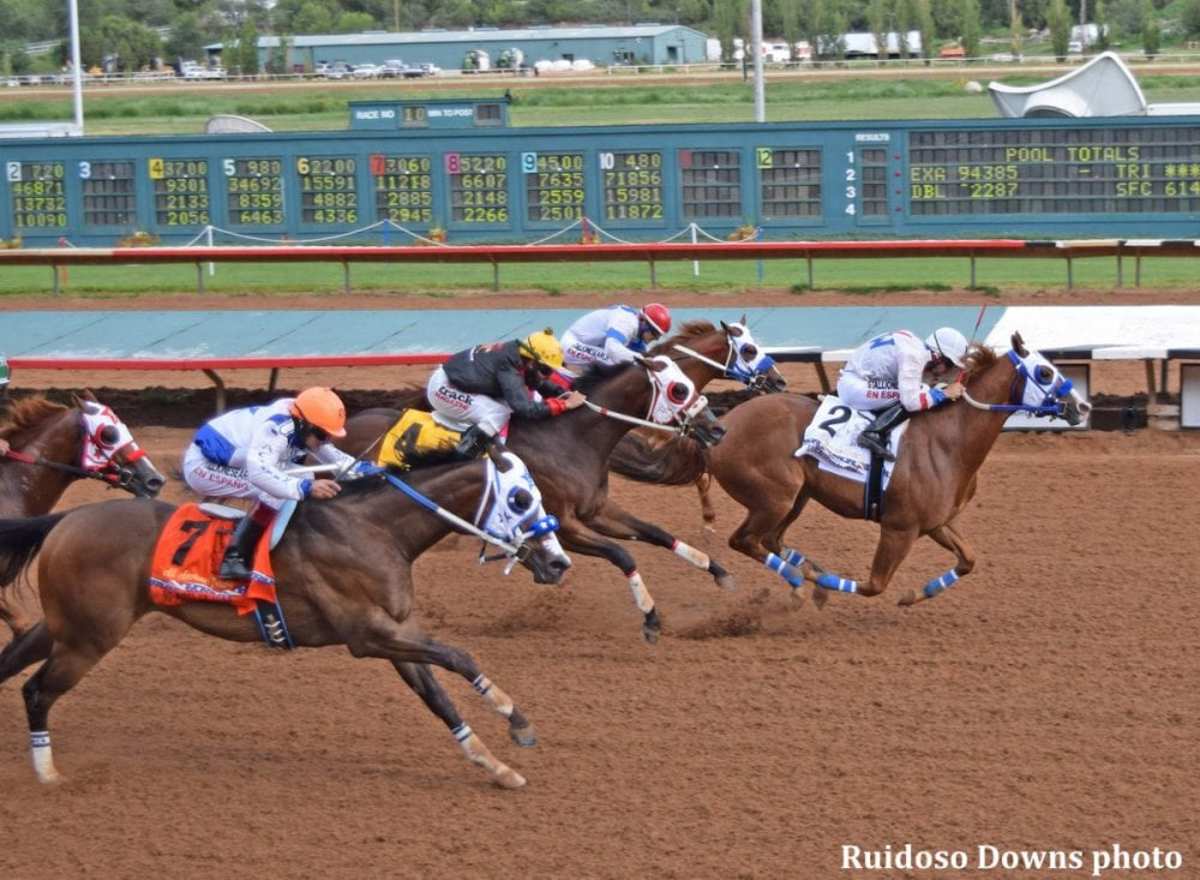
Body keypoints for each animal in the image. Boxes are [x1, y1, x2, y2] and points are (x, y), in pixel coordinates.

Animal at [0, 449, 568, 787]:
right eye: (521, 497)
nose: (559, 562)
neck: (371, 528)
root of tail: (67, 518)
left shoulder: (395, 630)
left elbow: (437, 695)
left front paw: (494, 764)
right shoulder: (368, 634)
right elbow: (459, 655)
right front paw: (517, 721)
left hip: (64, 625)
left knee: (15, 662)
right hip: (89, 638)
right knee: (36, 691)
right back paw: (48, 775)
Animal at [614, 333, 1094, 607]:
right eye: (1045, 372)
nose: (1083, 406)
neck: (950, 438)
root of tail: (722, 426)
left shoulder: (936, 523)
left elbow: (969, 559)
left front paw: (915, 594)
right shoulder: (899, 527)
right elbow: (873, 585)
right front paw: (824, 582)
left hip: (796, 496)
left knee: (770, 540)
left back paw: (799, 572)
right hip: (775, 495)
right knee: (744, 540)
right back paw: (801, 577)